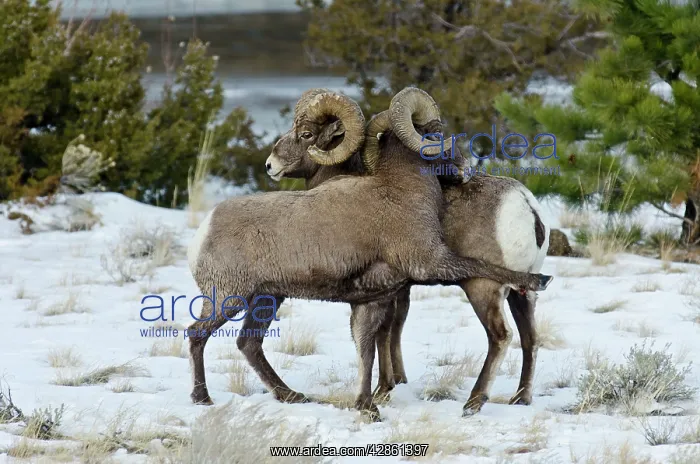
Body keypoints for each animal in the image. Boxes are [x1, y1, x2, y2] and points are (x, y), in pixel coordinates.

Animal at [187, 87, 553, 413]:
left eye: (306, 134)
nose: (270, 165)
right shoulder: (408, 278)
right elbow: (384, 336)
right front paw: (384, 390)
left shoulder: (396, 285)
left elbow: (380, 337)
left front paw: (382, 391)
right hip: (237, 297)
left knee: (515, 337)